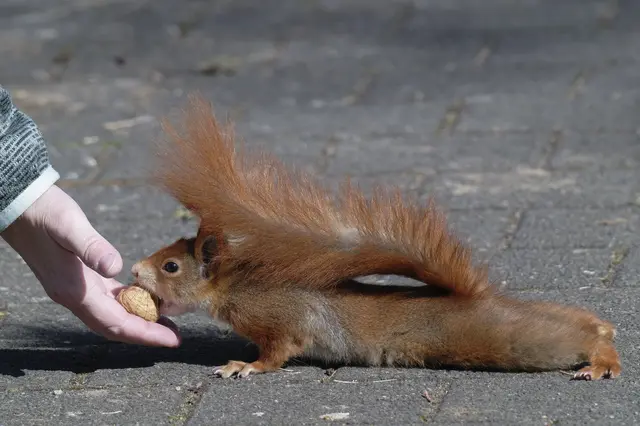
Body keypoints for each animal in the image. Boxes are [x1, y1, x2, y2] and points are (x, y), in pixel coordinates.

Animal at [130, 94, 621, 381]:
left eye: (171, 266)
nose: (133, 270)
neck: (233, 287)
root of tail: (476, 302)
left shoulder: (280, 319)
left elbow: (280, 350)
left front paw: (244, 365)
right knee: (577, 321)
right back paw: (601, 329)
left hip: (505, 340)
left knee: (570, 338)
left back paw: (601, 362)